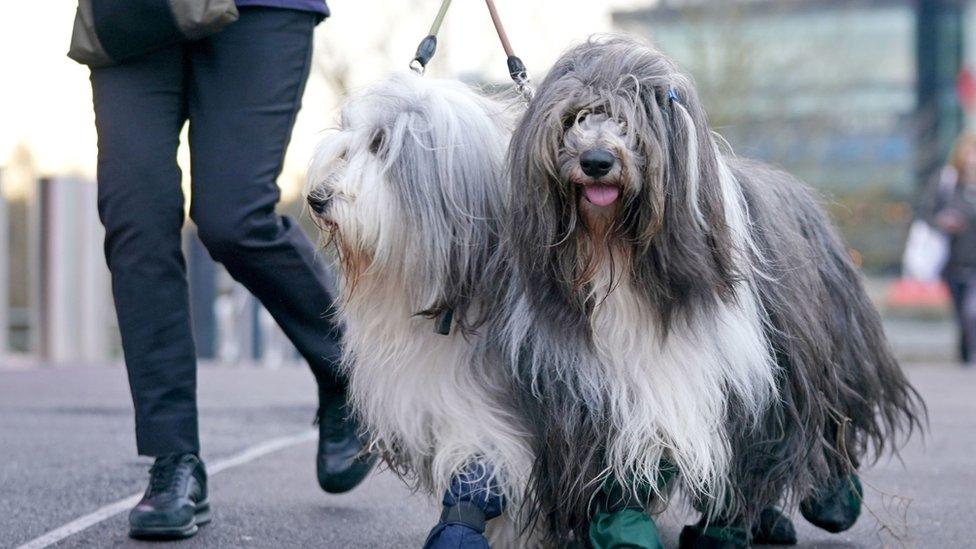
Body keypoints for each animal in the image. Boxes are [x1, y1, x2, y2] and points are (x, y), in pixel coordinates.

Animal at [496, 35, 932, 540]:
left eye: (630, 121)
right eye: (574, 118)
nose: (596, 161)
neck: (620, 256)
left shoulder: (742, 381)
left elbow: (744, 461)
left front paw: (723, 532)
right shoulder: (598, 390)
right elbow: (612, 467)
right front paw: (622, 531)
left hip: (831, 349)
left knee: (833, 420)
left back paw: (832, 504)